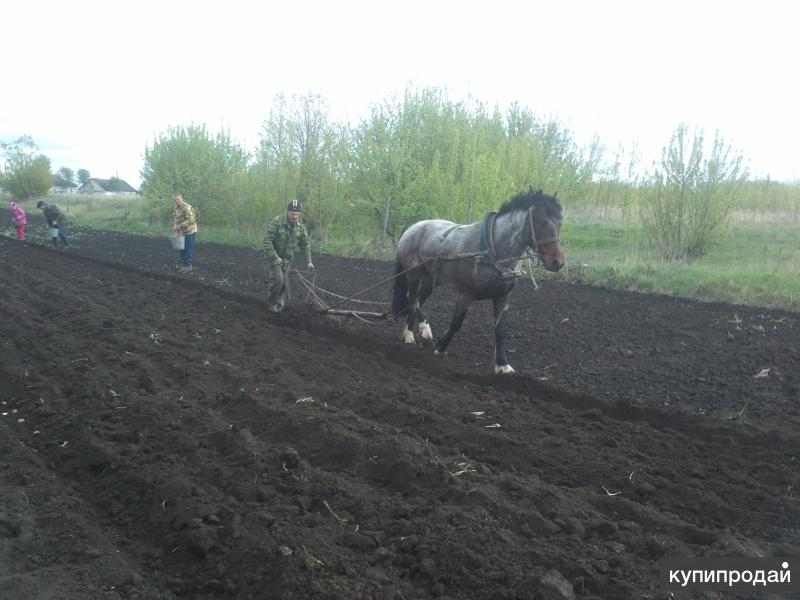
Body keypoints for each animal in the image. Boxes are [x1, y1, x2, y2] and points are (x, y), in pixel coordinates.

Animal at [390, 189, 564, 376]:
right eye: (540, 222)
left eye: (559, 222)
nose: (558, 262)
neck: (492, 249)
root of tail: (412, 228)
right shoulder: (466, 293)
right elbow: (456, 323)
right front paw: (441, 347)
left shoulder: (504, 296)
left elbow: (500, 329)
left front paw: (502, 364)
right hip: (413, 273)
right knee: (412, 298)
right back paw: (424, 332)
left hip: (431, 280)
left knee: (418, 301)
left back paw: (409, 334)